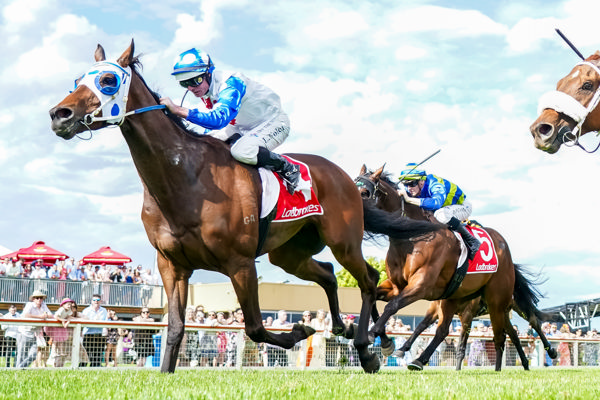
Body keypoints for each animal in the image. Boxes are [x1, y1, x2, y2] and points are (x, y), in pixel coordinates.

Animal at [48, 40, 440, 372]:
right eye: (77, 80)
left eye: (108, 80)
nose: (59, 114)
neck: (184, 178)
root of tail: (347, 178)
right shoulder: (172, 265)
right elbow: (175, 328)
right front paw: (165, 374)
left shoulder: (240, 262)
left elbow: (254, 327)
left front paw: (299, 331)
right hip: (289, 253)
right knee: (329, 274)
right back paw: (347, 329)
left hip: (343, 240)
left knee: (368, 279)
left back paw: (370, 347)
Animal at [354, 165, 556, 368]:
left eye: (364, 192)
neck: (412, 236)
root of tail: (505, 249)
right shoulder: (397, 286)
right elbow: (376, 297)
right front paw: (386, 342)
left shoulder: (422, 286)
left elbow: (392, 306)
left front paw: (373, 334)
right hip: (457, 298)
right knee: (452, 331)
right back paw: (419, 360)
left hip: (498, 300)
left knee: (510, 332)